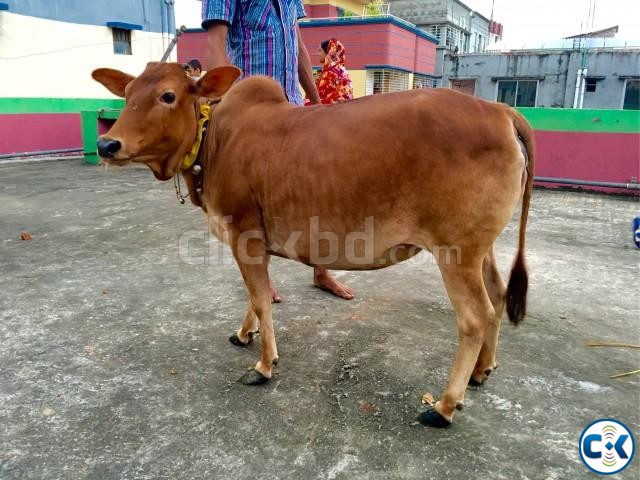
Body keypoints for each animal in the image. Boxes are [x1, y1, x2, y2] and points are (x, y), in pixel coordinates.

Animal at [92, 63, 536, 428]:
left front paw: (264, 364)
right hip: (480, 249)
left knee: (476, 316)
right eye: (127, 93)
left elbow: (260, 297)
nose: (107, 145)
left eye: (168, 95)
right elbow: (255, 297)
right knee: (498, 296)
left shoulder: (245, 235)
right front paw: (244, 333)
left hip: (455, 253)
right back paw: (481, 371)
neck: (214, 139)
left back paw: (444, 405)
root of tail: (500, 111)